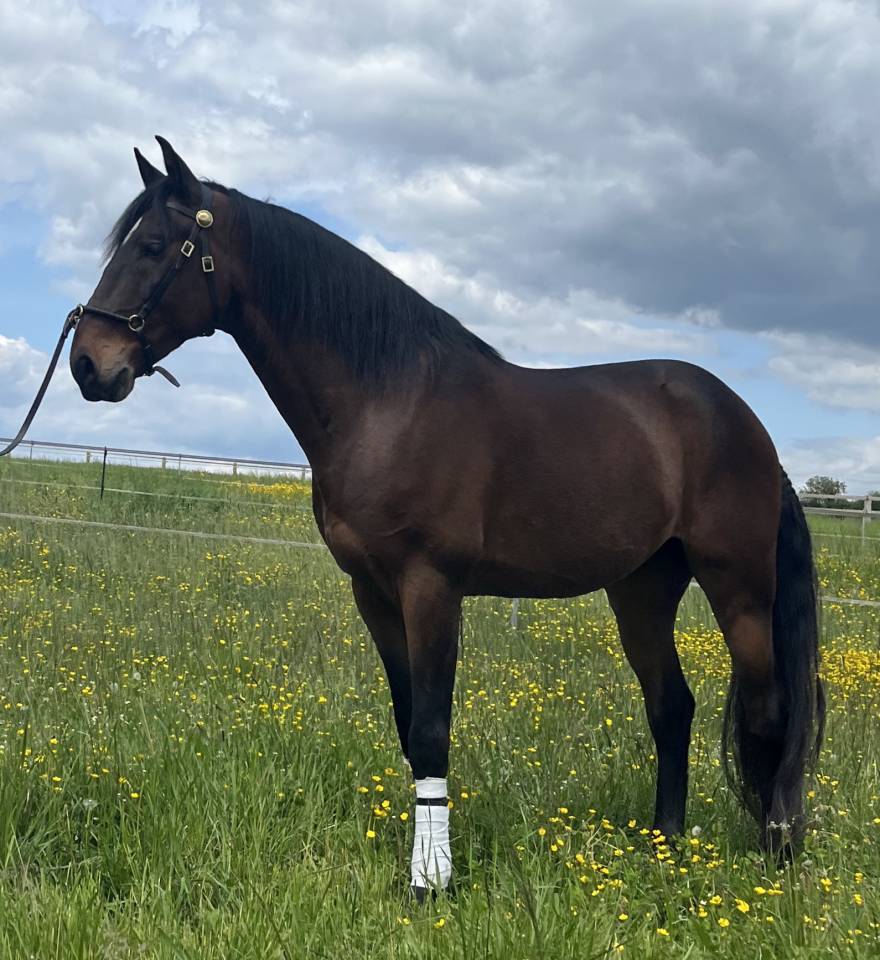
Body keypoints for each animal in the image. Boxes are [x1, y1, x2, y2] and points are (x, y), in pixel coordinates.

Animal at [68, 137, 824, 897]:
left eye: (154, 246)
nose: (86, 365)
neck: (388, 401)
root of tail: (745, 423)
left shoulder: (431, 586)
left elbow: (432, 730)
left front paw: (431, 881)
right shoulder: (373, 593)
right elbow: (409, 726)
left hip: (738, 588)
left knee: (767, 713)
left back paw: (774, 854)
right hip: (641, 588)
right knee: (672, 707)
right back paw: (665, 845)